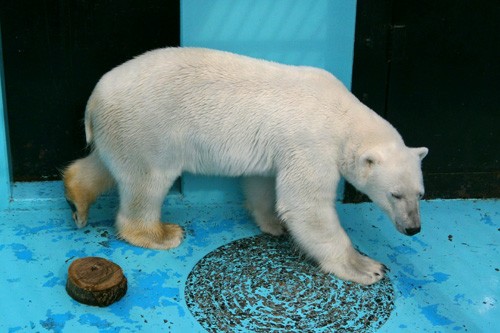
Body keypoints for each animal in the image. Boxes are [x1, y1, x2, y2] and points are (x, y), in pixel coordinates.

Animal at [62, 48, 428, 284]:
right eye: (395, 195)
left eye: (420, 194)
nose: (413, 228)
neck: (343, 114)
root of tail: (93, 101)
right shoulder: (313, 145)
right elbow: (306, 205)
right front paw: (366, 267)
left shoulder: (279, 147)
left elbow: (262, 182)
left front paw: (274, 224)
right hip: (147, 127)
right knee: (147, 180)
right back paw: (161, 233)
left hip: (121, 130)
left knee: (107, 164)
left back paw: (77, 199)